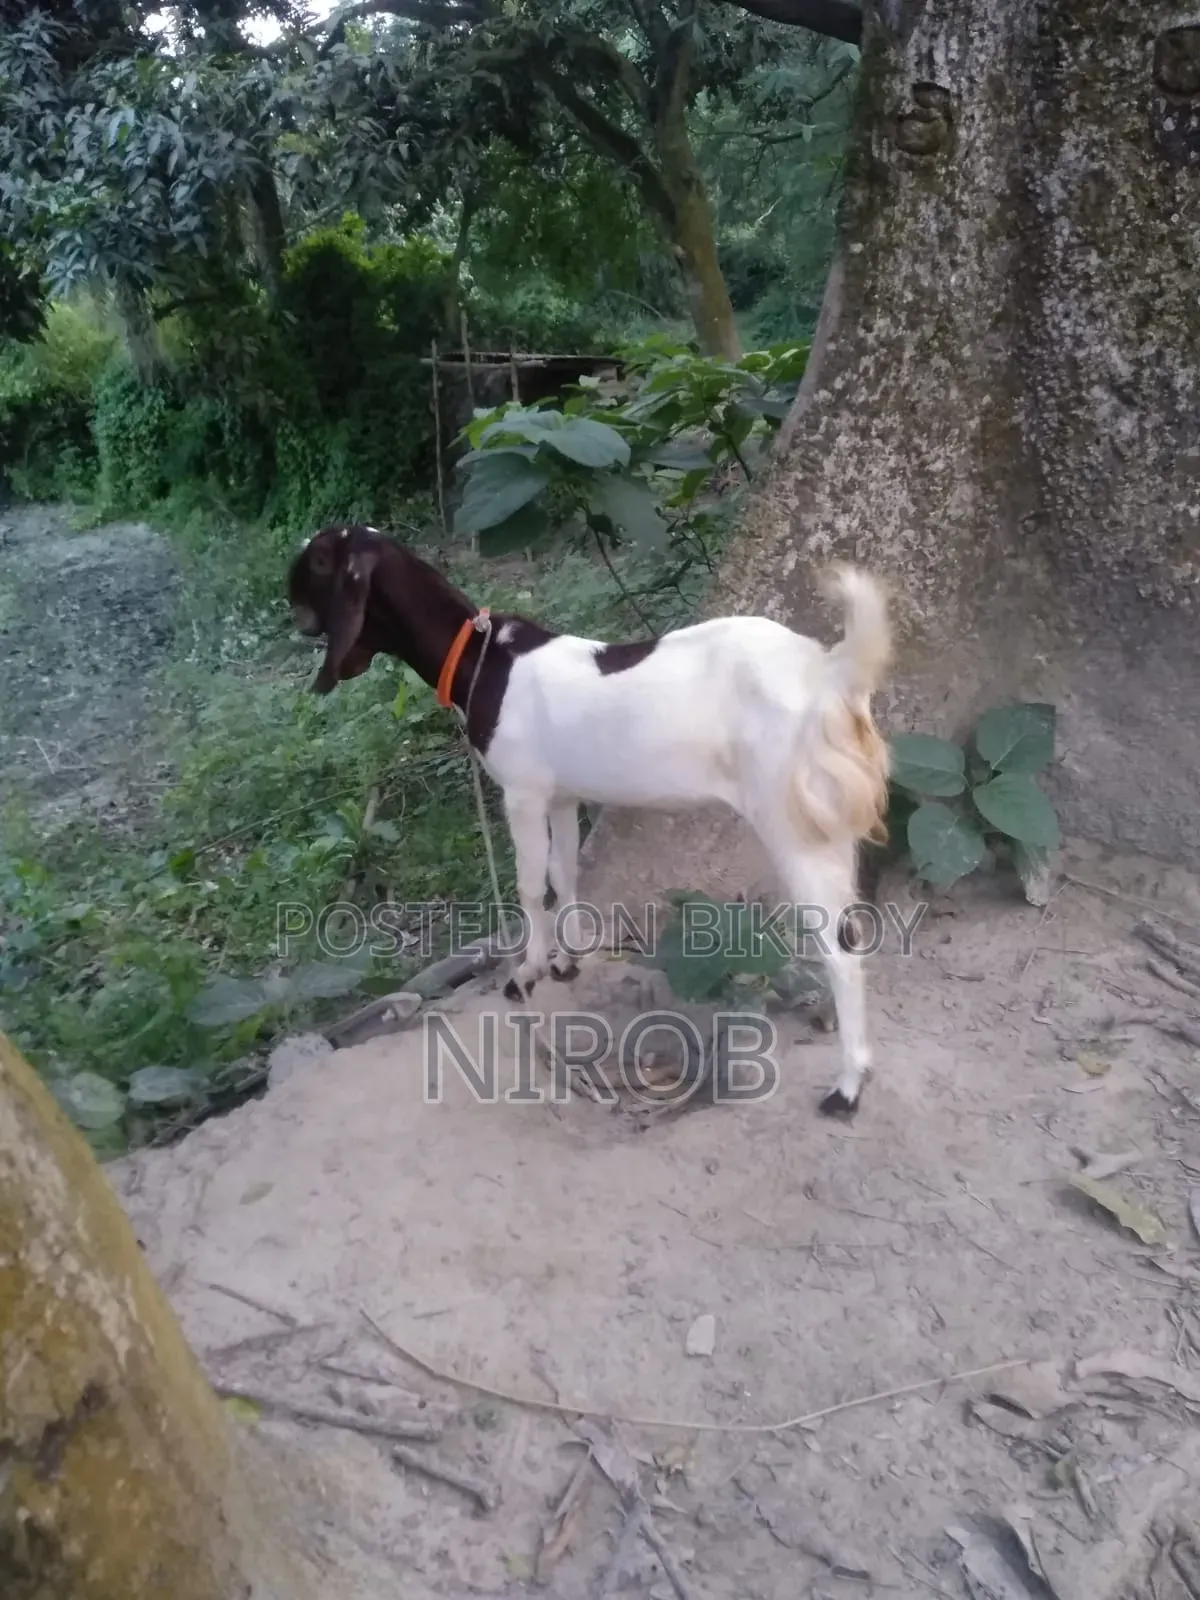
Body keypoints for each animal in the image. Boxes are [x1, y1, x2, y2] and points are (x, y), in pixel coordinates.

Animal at [287, 523, 892, 1115]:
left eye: (319, 560)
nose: (290, 605)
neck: (485, 660)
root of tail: (828, 674)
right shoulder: (563, 797)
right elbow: (565, 873)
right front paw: (567, 960)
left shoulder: (524, 793)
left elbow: (531, 886)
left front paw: (526, 973)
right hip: (828, 819)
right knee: (852, 928)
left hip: (791, 821)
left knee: (838, 944)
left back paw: (846, 1089)